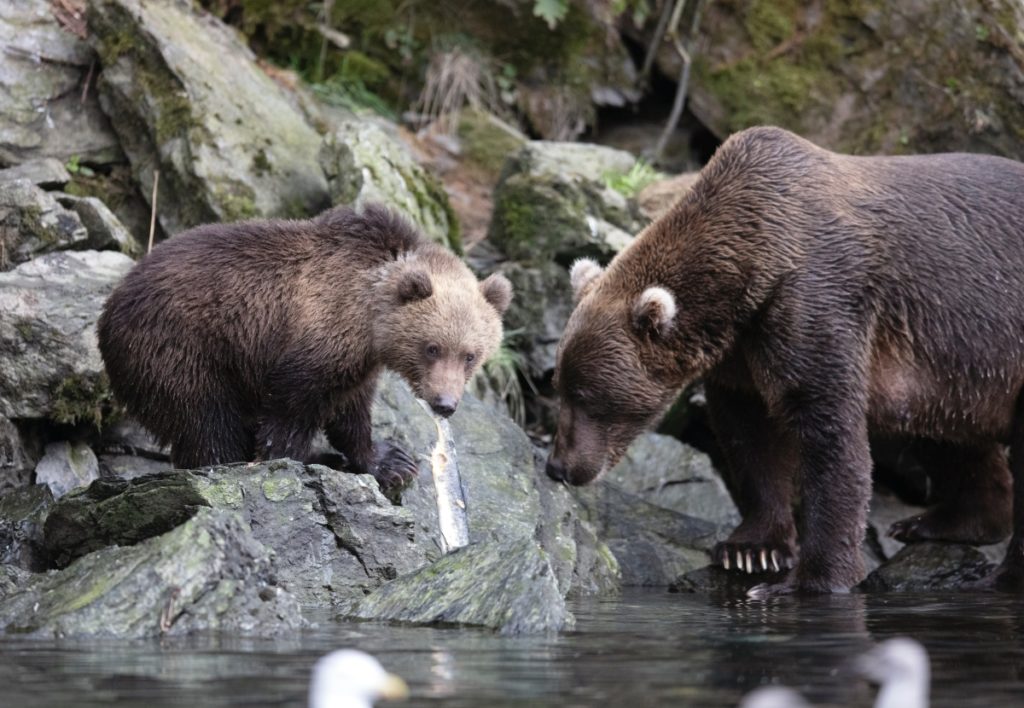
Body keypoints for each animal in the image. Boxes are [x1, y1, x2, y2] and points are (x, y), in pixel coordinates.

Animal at [98, 203, 512, 491]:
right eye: (432, 347)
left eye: (470, 355)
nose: (445, 404)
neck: (369, 313)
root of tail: (110, 309)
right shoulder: (317, 336)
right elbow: (290, 410)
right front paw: (288, 461)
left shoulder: (357, 362)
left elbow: (350, 411)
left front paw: (392, 461)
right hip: (182, 351)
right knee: (205, 421)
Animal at [545, 125, 1024, 594]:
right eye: (559, 387)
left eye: (587, 396)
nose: (559, 467)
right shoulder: (741, 352)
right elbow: (750, 434)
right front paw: (750, 550)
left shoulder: (815, 301)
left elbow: (827, 429)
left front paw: (810, 579)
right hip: (950, 368)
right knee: (946, 436)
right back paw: (939, 521)